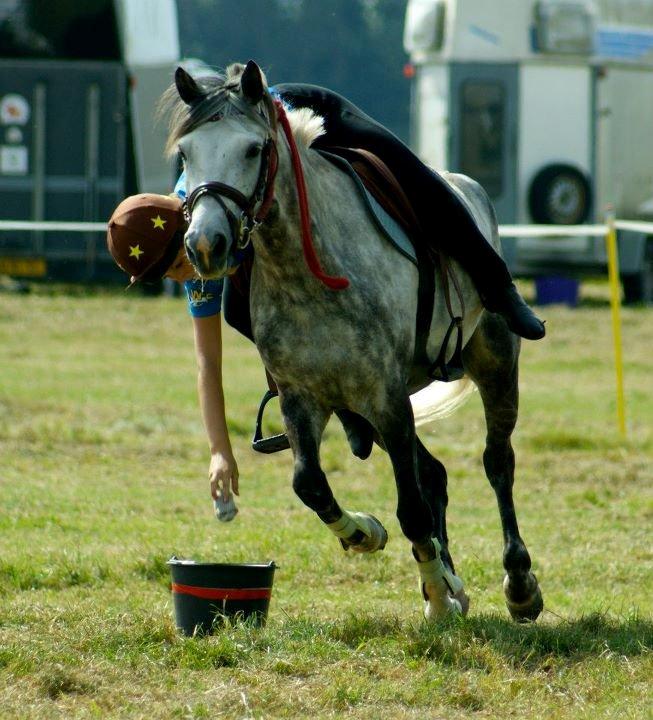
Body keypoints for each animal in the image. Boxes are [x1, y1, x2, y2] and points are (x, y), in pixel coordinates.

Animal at [160, 62, 544, 620]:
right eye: (187, 153)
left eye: (253, 150)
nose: (205, 244)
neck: (306, 273)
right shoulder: (304, 399)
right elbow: (311, 485)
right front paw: (368, 535)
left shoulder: (384, 396)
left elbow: (411, 510)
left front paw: (437, 595)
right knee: (434, 474)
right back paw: (453, 581)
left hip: (493, 362)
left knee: (497, 462)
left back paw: (518, 585)